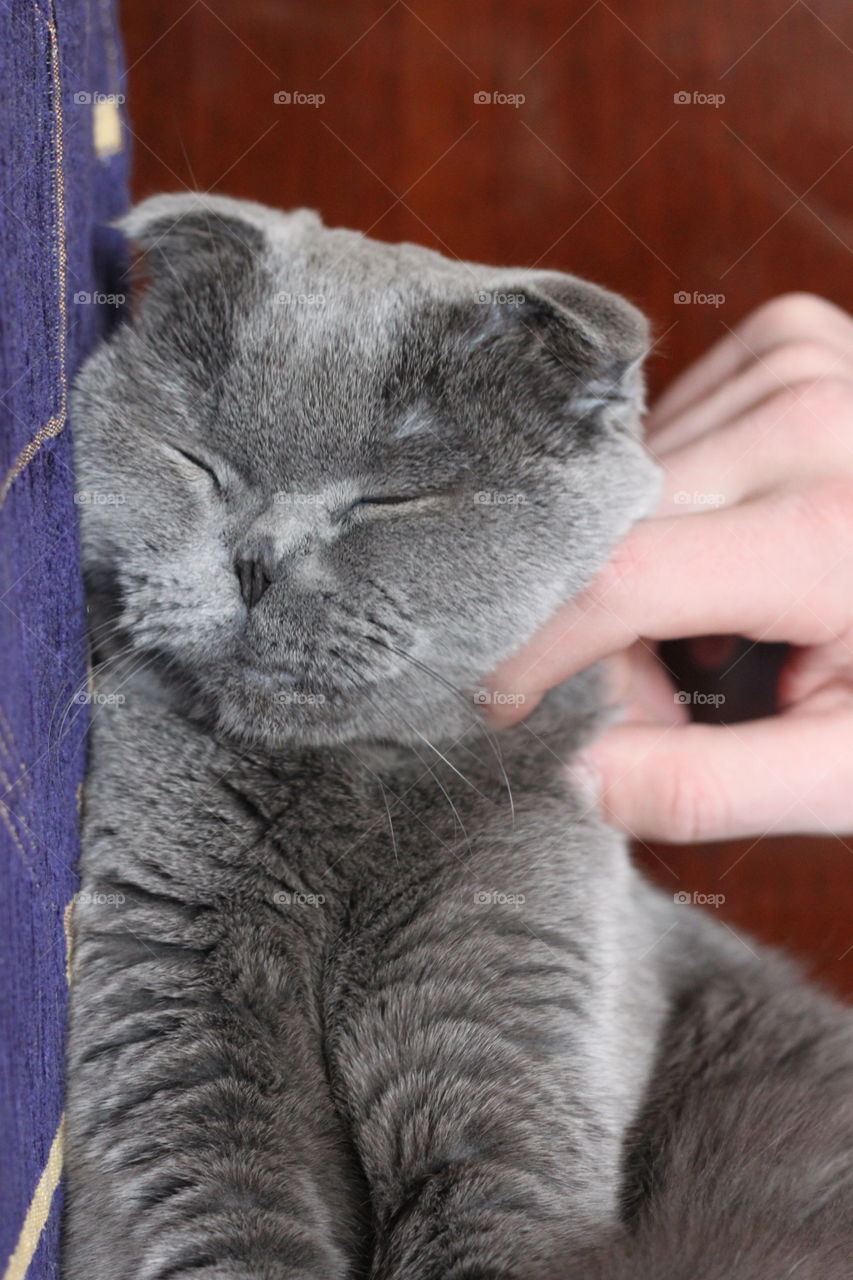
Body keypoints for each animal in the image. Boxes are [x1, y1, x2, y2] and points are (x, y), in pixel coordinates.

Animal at [64, 192, 850, 1280]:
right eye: (197, 460)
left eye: (389, 501)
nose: (257, 560)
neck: (342, 801)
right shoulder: (162, 988)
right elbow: (216, 1209)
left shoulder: (506, 978)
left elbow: (496, 1203)